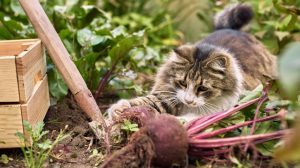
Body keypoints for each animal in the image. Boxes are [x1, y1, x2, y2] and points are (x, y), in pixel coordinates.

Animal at [106, 3, 278, 122]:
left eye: (202, 88)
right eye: (182, 83)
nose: (188, 100)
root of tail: (234, 30)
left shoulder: (217, 110)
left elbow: (188, 118)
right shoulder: (167, 96)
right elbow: (143, 101)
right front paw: (119, 109)